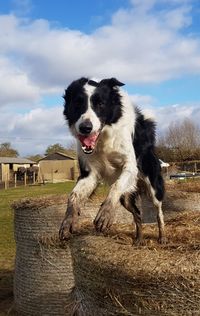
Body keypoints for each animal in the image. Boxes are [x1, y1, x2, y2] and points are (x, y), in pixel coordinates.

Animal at [59, 77, 166, 244]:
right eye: (77, 103)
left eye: (101, 104)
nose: (85, 128)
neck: (104, 137)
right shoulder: (89, 173)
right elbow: (73, 195)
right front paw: (69, 220)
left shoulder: (130, 166)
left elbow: (116, 186)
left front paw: (105, 213)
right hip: (126, 197)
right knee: (137, 214)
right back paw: (138, 239)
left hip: (153, 186)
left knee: (158, 211)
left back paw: (162, 236)